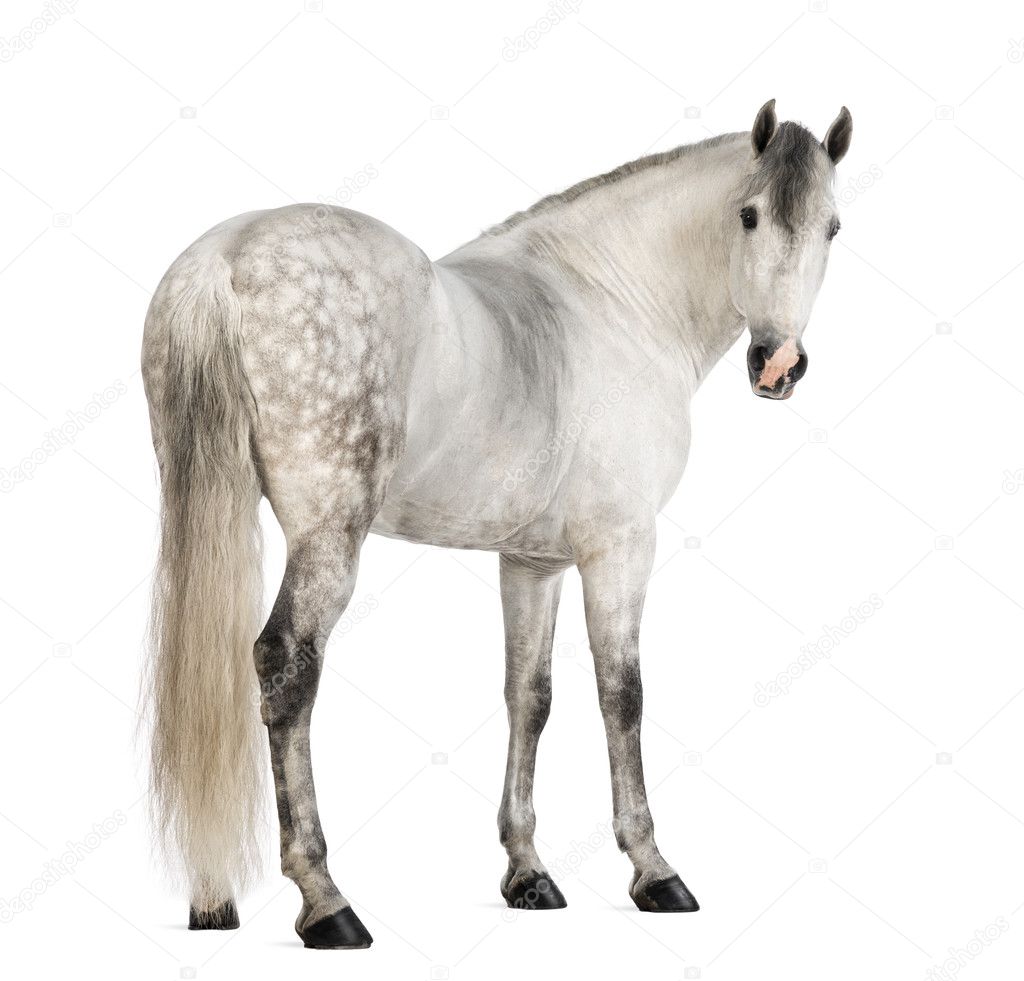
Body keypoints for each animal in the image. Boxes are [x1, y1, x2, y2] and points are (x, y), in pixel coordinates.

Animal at [140, 101, 851, 950]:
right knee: (287, 668)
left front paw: (528, 872)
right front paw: (653, 868)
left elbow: (529, 697)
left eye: (833, 226)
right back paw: (326, 901)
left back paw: (213, 899)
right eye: (749, 214)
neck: (613, 299)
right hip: (327, 537)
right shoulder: (620, 548)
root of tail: (227, 255)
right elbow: (623, 694)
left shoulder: (531, 562)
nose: (778, 364)